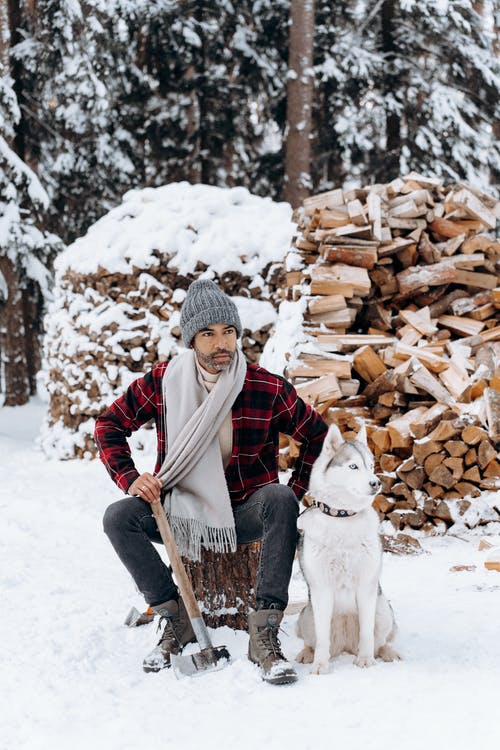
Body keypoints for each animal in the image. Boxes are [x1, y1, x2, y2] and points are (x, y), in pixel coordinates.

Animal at [296, 424, 398, 676]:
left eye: (370, 465)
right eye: (353, 466)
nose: (376, 483)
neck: (342, 517)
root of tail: (345, 645)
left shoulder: (366, 586)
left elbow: (367, 634)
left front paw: (366, 660)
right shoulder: (321, 589)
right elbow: (322, 638)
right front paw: (320, 666)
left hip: (383, 610)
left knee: (380, 641)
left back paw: (386, 652)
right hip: (307, 616)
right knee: (313, 641)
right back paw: (307, 654)